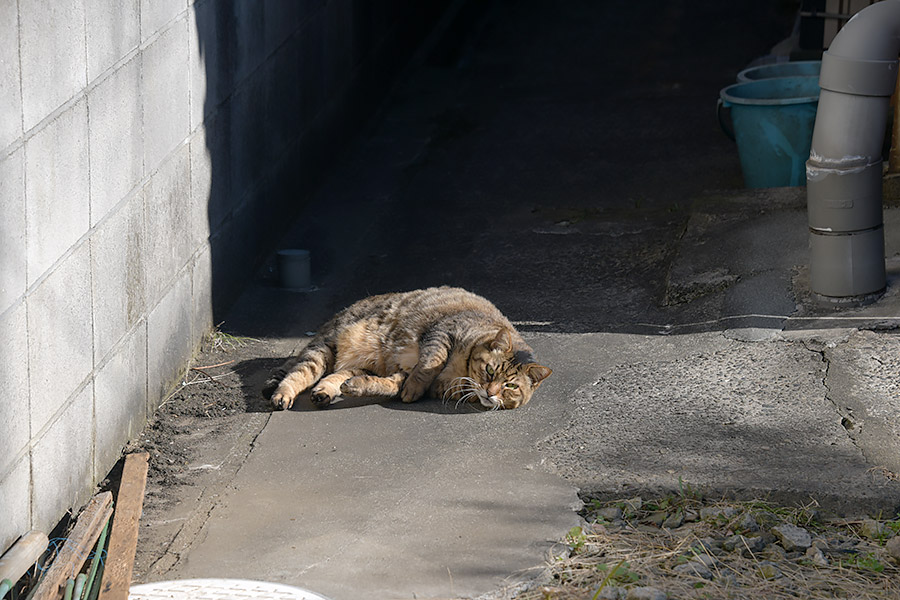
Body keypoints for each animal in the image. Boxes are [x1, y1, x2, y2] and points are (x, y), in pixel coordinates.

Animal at [264, 284, 552, 408]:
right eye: (490, 371)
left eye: (511, 387)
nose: (490, 392)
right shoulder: (442, 331)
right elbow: (430, 363)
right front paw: (414, 387)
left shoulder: (404, 374)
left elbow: (390, 385)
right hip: (326, 347)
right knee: (298, 372)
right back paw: (281, 394)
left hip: (358, 364)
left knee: (334, 375)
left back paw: (325, 391)